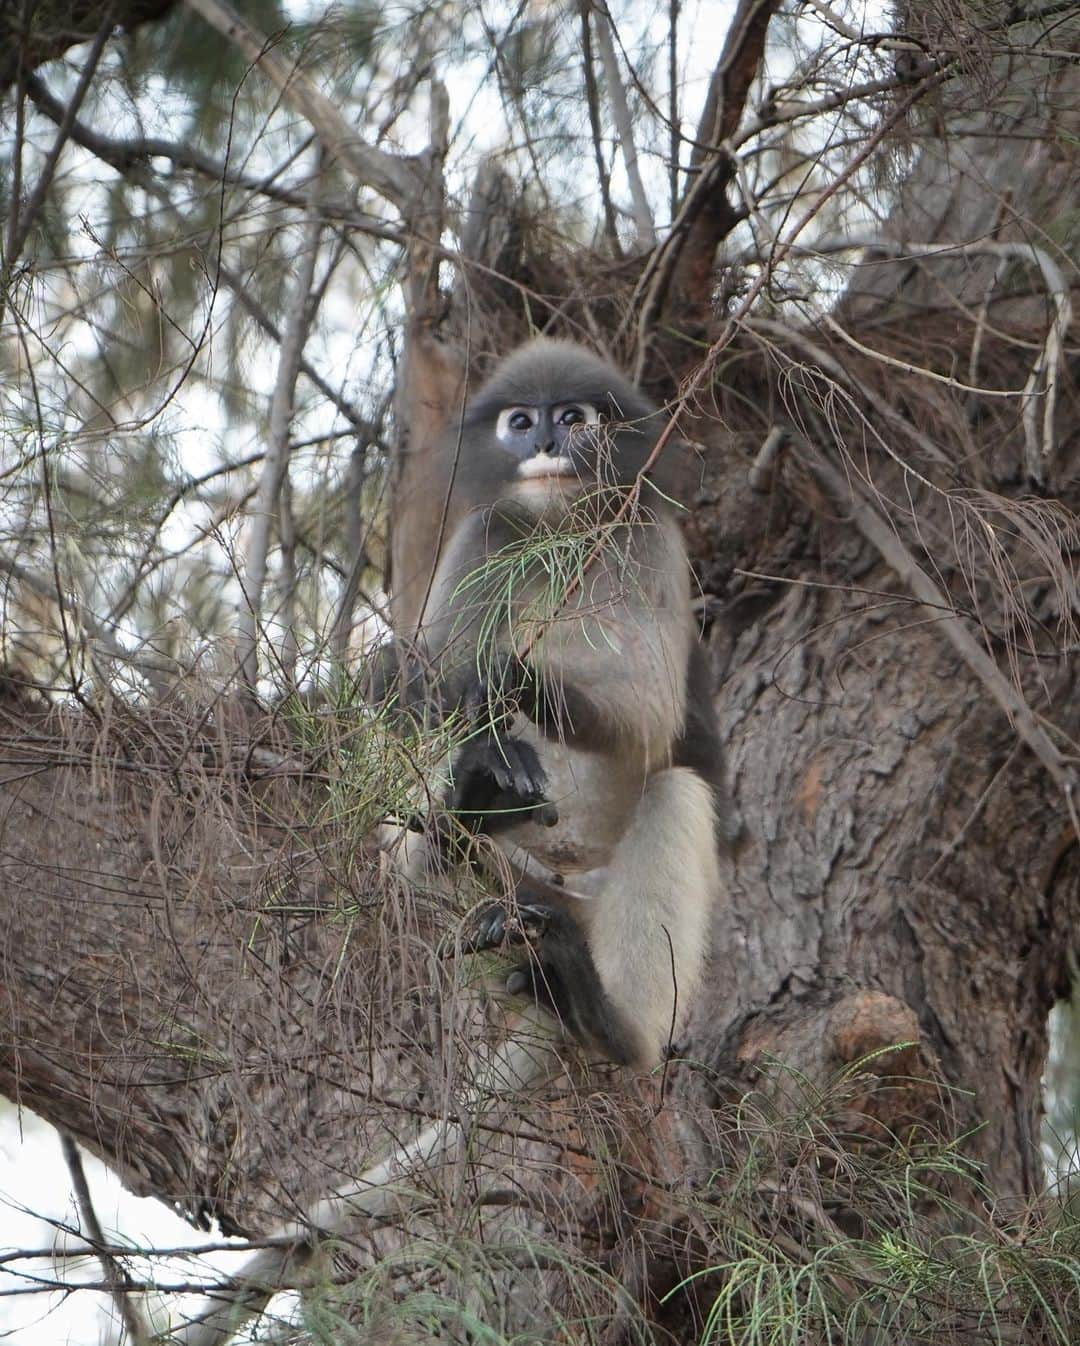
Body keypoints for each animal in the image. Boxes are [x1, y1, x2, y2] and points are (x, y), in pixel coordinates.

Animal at [374, 339, 727, 1071]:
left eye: (572, 418)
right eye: (520, 421)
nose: (542, 441)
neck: (561, 533)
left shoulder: (647, 539)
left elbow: (651, 714)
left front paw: (515, 676)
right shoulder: (484, 535)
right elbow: (428, 684)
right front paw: (475, 738)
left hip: (579, 909)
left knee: (675, 789)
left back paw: (605, 1017)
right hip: (507, 894)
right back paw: (468, 807)